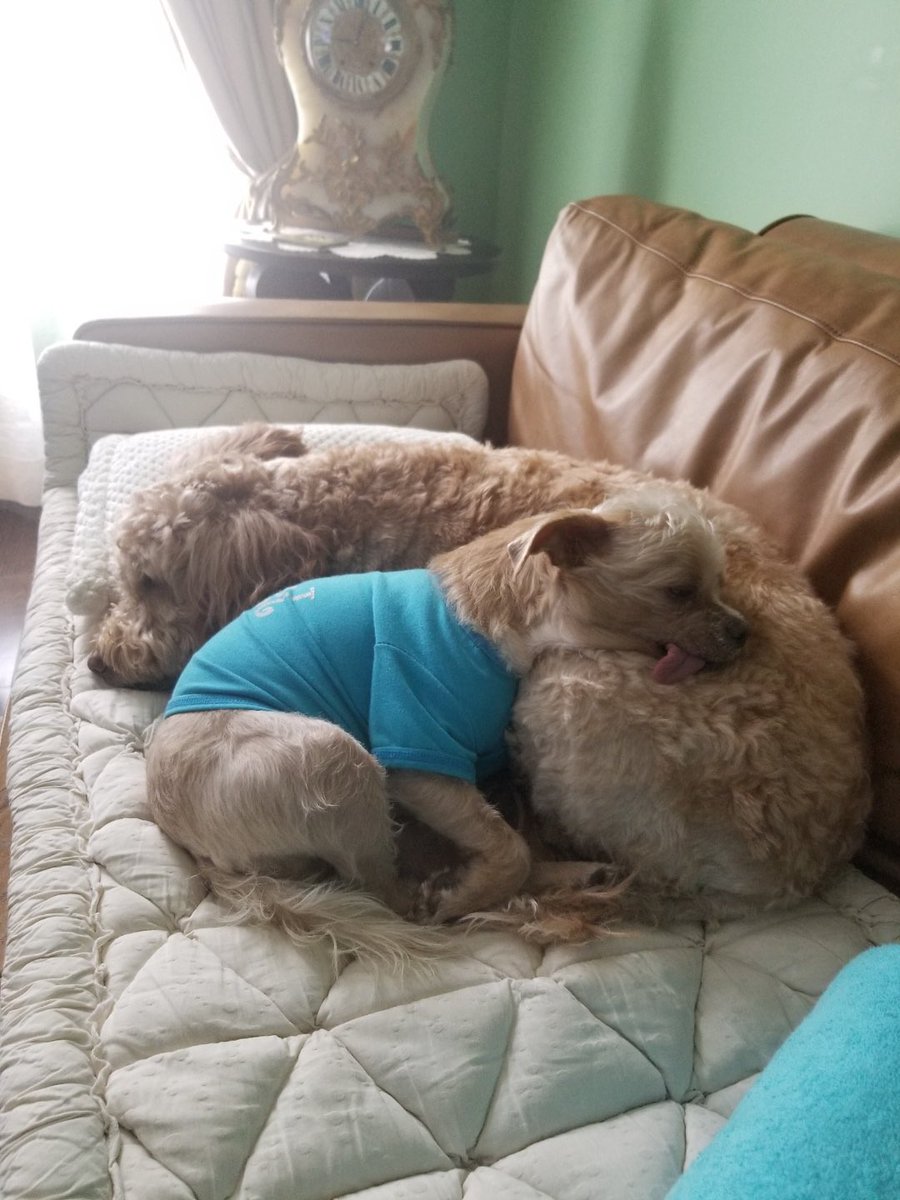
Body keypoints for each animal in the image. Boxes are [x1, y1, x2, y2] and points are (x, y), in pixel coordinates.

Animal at [144, 491, 748, 963]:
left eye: (719, 583)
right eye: (678, 591)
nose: (744, 631)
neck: (505, 618)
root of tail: (196, 847)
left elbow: (517, 833)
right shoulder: (419, 757)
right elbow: (510, 847)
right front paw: (468, 893)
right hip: (334, 758)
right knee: (383, 892)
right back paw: (445, 893)